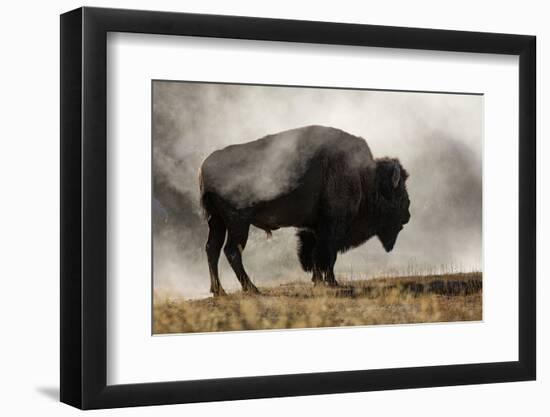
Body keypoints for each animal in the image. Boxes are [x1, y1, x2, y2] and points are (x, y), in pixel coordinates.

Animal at [201, 124, 412, 296]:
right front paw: (331, 282)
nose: (408, 215)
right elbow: (327, 255)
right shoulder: (332, 226)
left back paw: (219, 291)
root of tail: (205, 166)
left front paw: (319, 281)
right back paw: (252, 289)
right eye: (400, 191)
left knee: (212, 249)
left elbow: (316, 254)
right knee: (231, 251)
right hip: (238, 223)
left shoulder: (315, 229)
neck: (363, 175)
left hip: (217, 221)